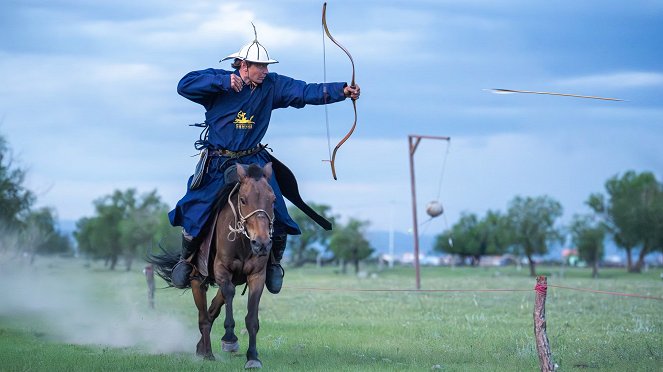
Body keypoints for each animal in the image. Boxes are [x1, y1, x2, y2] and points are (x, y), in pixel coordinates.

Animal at [149, 163, 276, 370]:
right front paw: (230, 338)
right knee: (204, 317)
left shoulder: (257, 276)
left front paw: (253, 357)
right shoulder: (222, 271)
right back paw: (207, 353)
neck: (242, 241)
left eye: (273, 200)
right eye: (243, 199)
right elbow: (229, 295)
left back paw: (202, 347)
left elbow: (251, 318)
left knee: (212, 310)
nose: (262, 244)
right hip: (197, 281)